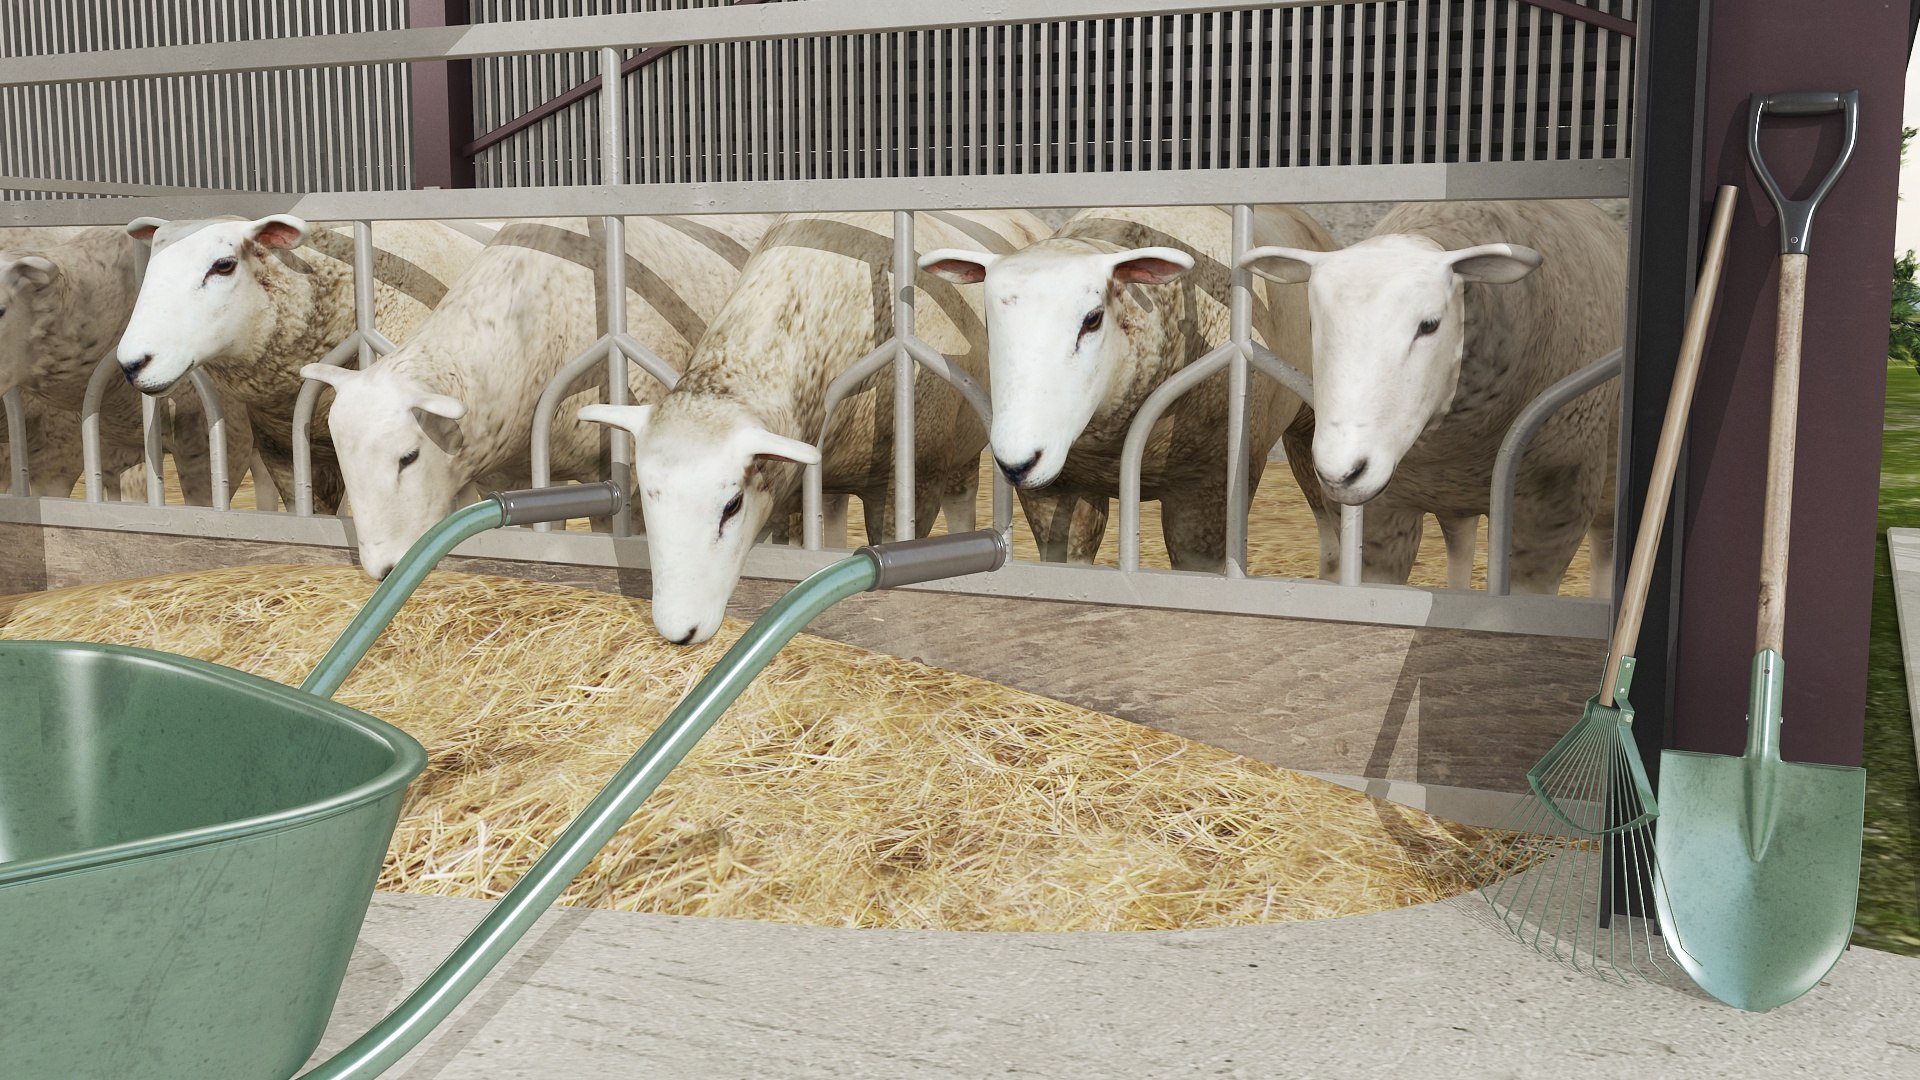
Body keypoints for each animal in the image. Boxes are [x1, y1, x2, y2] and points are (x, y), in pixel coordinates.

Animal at [1241, 199, 1624, 595]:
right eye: (1313, 324)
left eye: (1429, 325)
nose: (1340, 474)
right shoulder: (1382, 520)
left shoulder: (1551, 511)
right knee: (1460, 537)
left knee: (1606, 541)